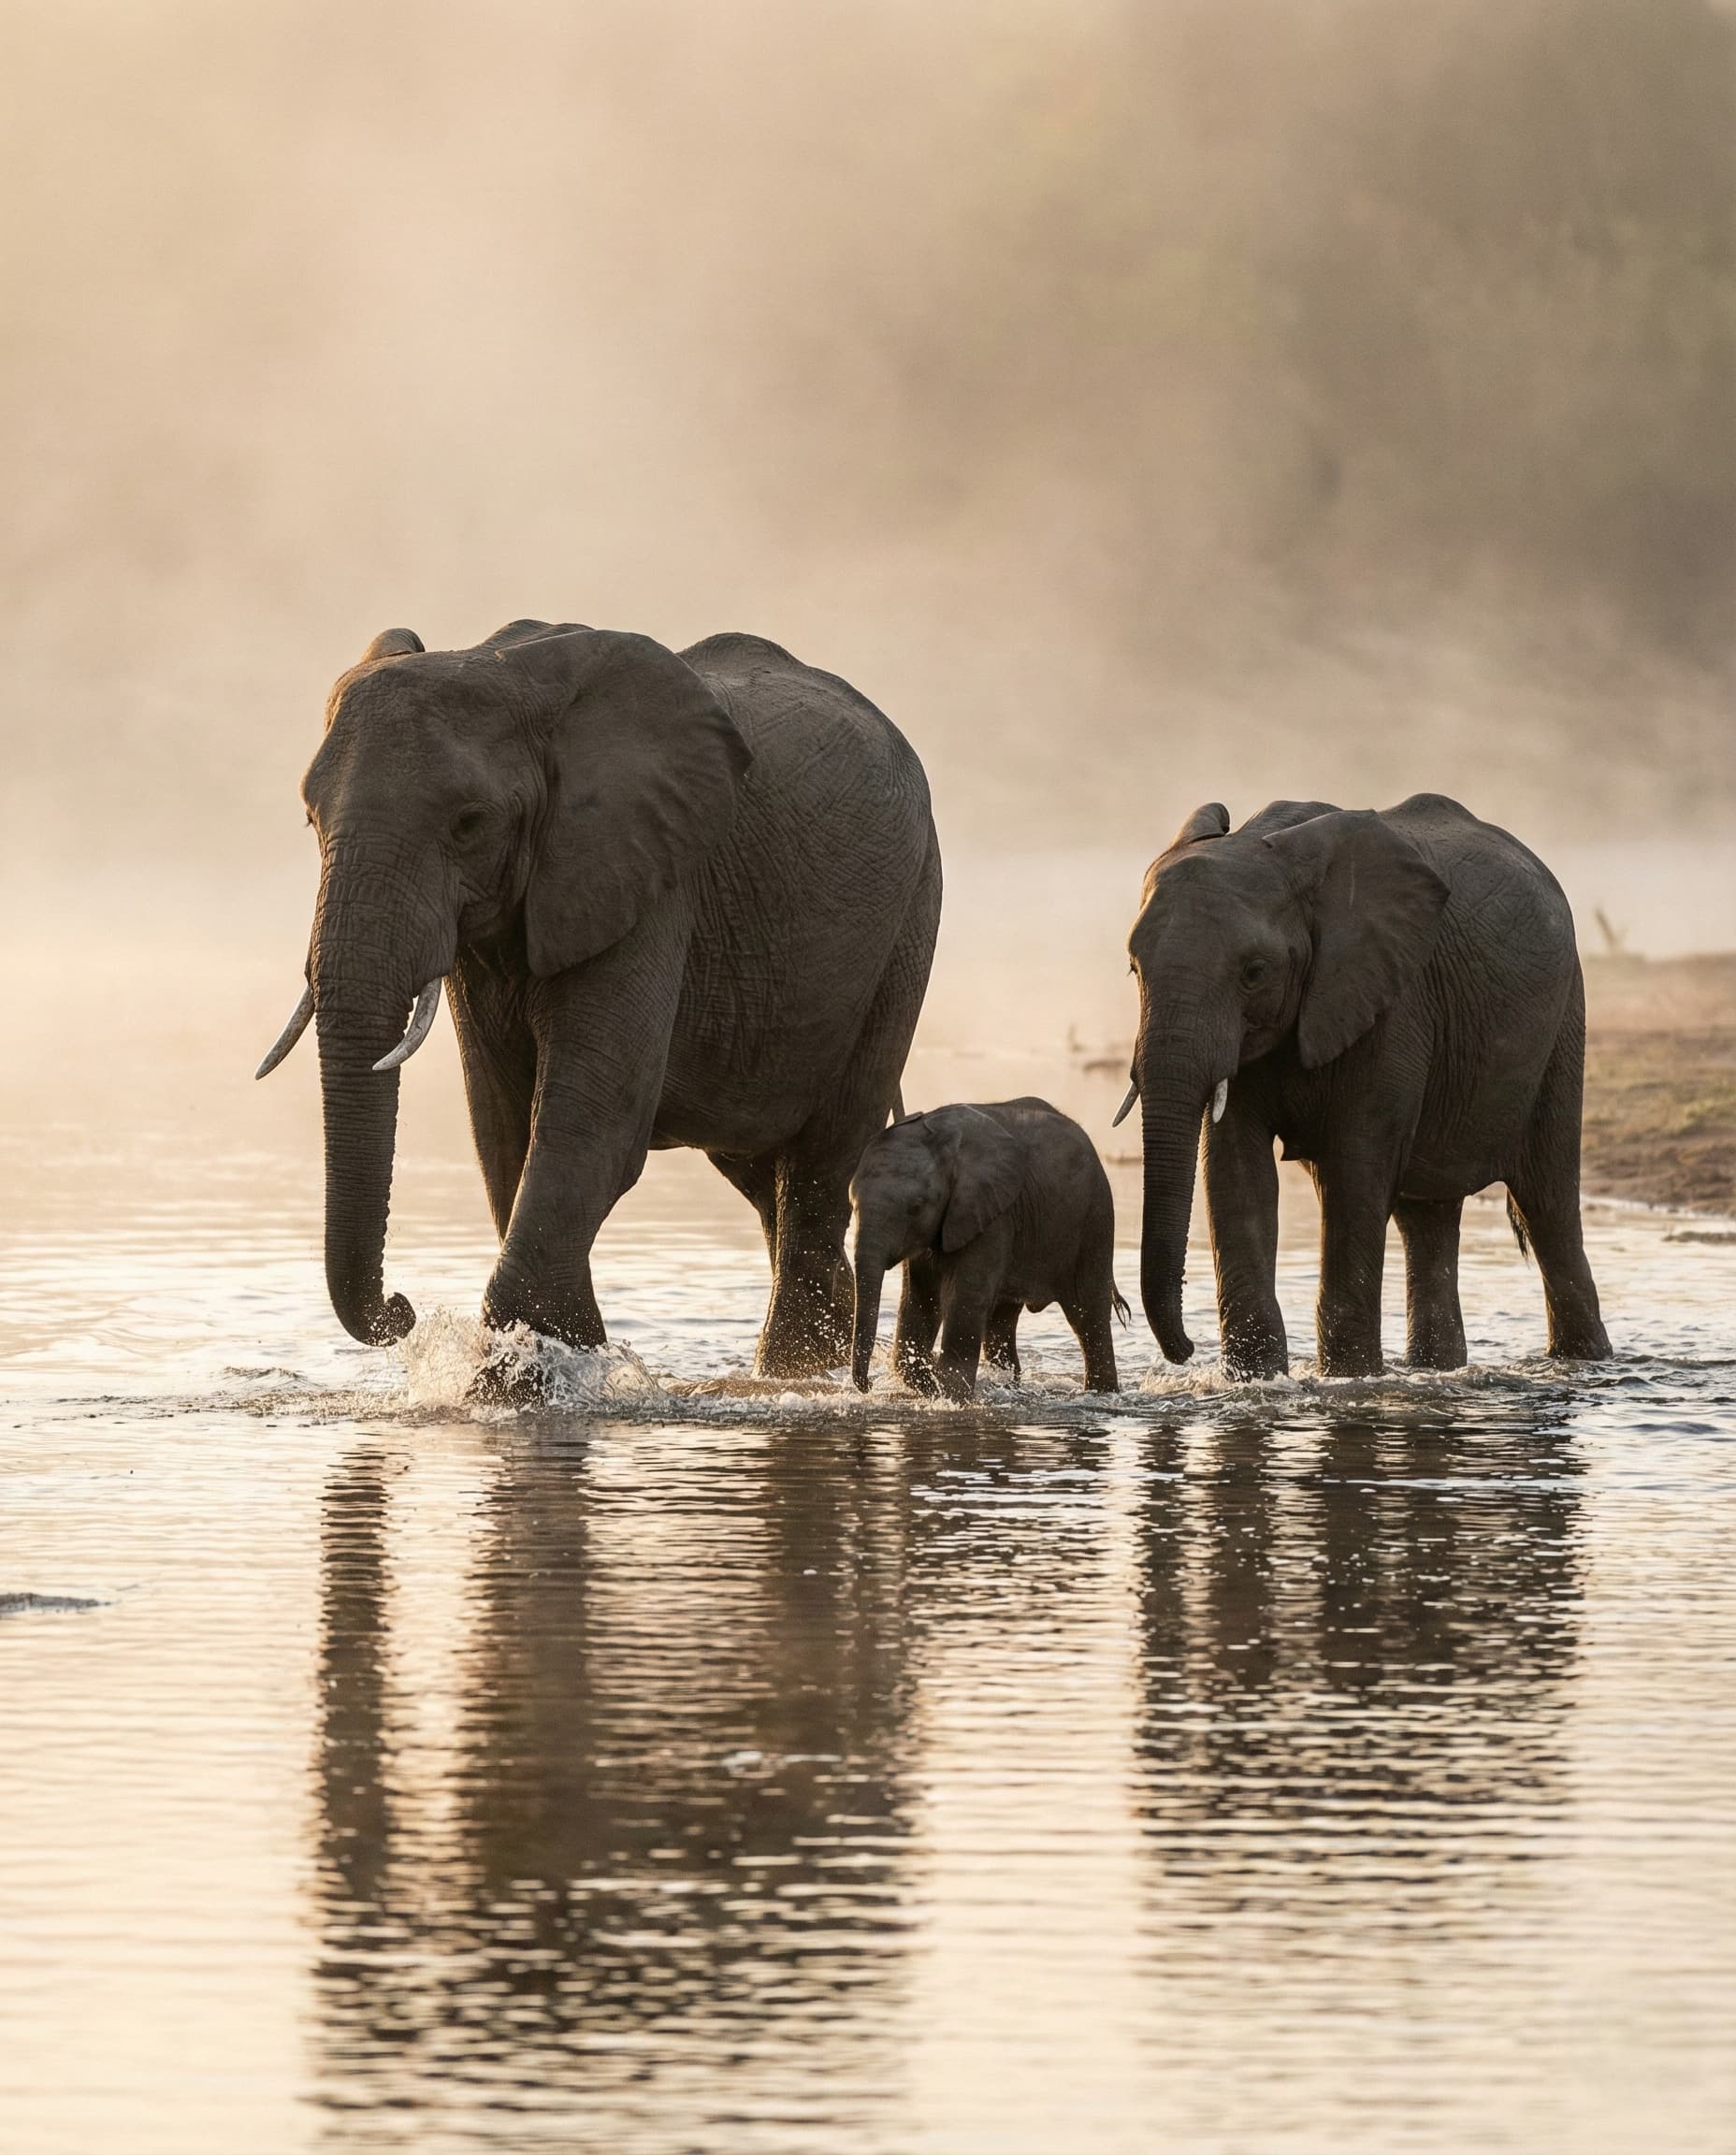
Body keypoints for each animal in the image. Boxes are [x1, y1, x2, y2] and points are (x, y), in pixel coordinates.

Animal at [257, 620, 941, 1377]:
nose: (403, 1309)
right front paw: (560, 1354)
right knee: (768, 1177)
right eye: (311, 819)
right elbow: (502, 1124)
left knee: (819, 1173)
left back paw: (795, 1373)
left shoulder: (651, 875)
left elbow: (593, 1118)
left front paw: (521, 1377)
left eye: (469, 823)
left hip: (908, 920)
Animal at [849, 1098, 1127, 1400]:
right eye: (853, 1205)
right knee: (1001, 1322)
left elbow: (964, 1299)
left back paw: (1101, 1394)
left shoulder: (991, 1215)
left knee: (1088, 1314)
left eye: (916, 1207)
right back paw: (1009, 1385)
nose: (869, 1385)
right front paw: (931, 1387)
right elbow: (918, 1299)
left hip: (1094, 1219)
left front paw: (951, 1396)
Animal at [1119, 794, 1610, 1381]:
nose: (1185, 1349)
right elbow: (1235, 1167)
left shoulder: (1395, 1003)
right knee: (1426, 1219)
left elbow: (1358, 1165)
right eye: (1133, 968)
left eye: (1254, 972)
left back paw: (1582, 1365)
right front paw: (1257, 1380)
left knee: (1547, 1207)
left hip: (1563, 1024)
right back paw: (1436, 1372)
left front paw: (1347, 1380)